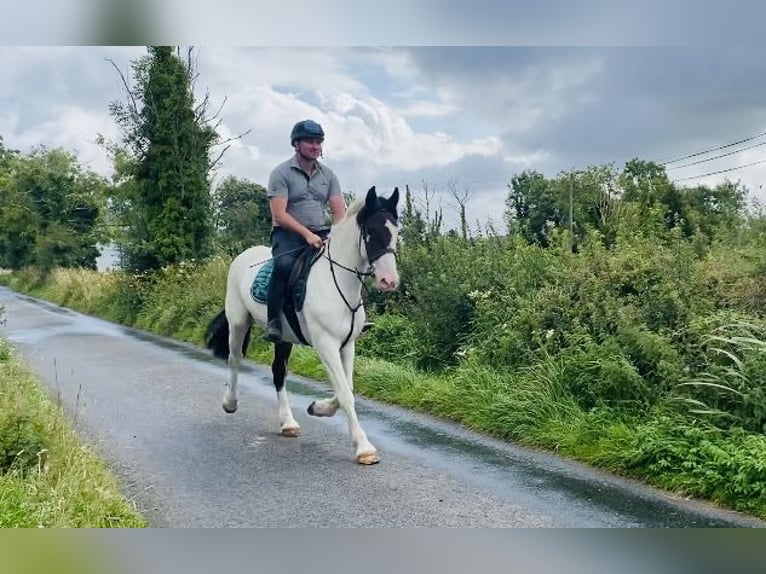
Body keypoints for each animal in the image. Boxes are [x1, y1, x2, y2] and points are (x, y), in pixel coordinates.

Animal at [207, 187, 404, 466]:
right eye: (370, 232)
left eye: (396, 231)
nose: (390, 281)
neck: (338, 282)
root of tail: (243, 256)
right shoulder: (326, 344)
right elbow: (345, 393)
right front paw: (364, 448)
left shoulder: (347, 345)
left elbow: (347, 388)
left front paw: (318, 408)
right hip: (238, 322)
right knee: (235, 359)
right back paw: (230, 402)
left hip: (283, 338)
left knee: (278, 372)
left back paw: (288, 423)